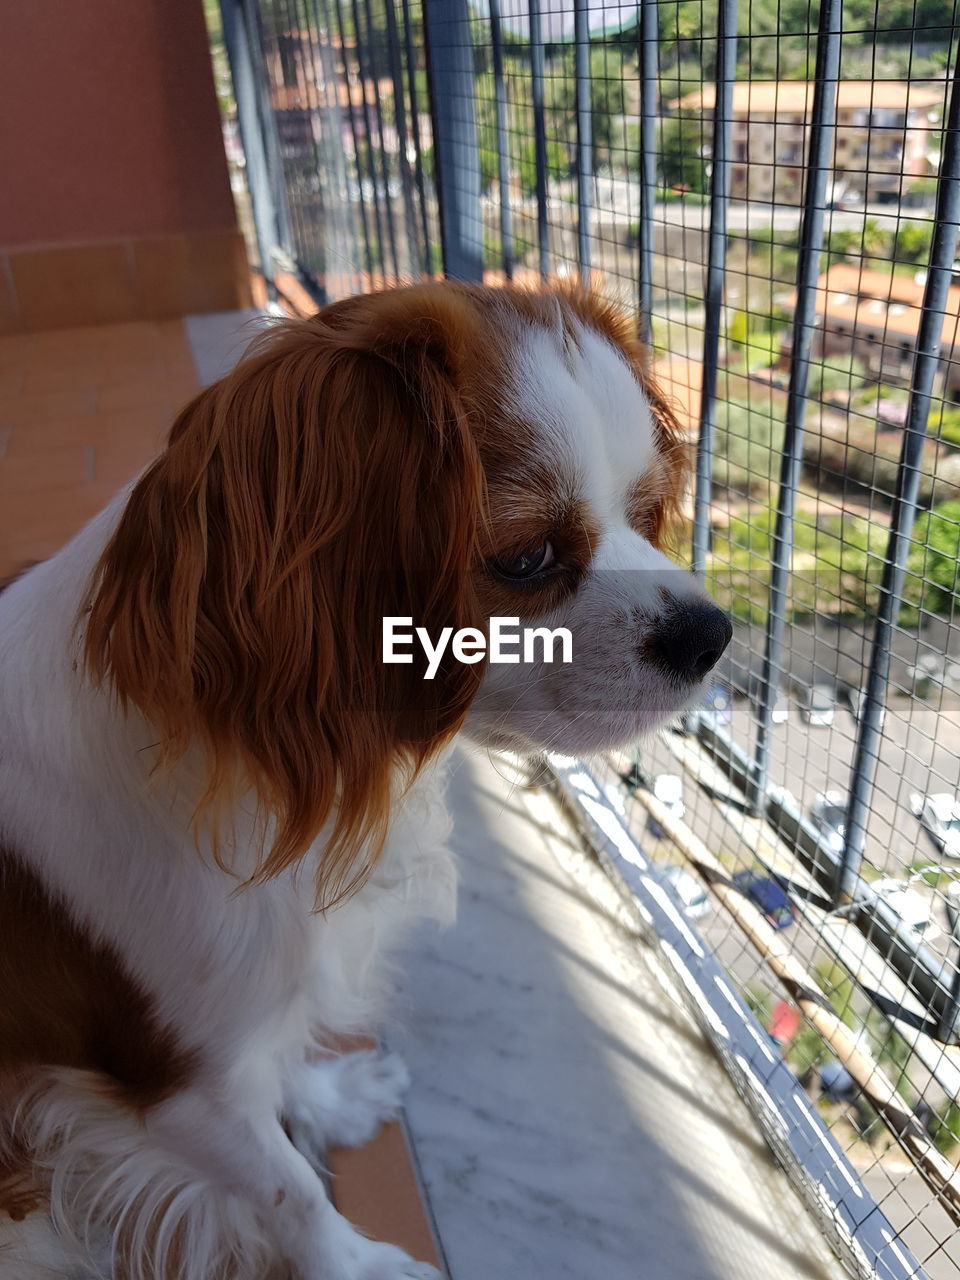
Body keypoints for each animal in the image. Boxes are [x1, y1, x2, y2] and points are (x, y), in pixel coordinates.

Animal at [0, 282, 727, 1280]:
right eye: (527, 558)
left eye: (644, 508)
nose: (712, 633)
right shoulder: (171, 1083)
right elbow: (287, 1193)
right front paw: (359, 1265)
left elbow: (282, 1063)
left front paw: (327, 1099)